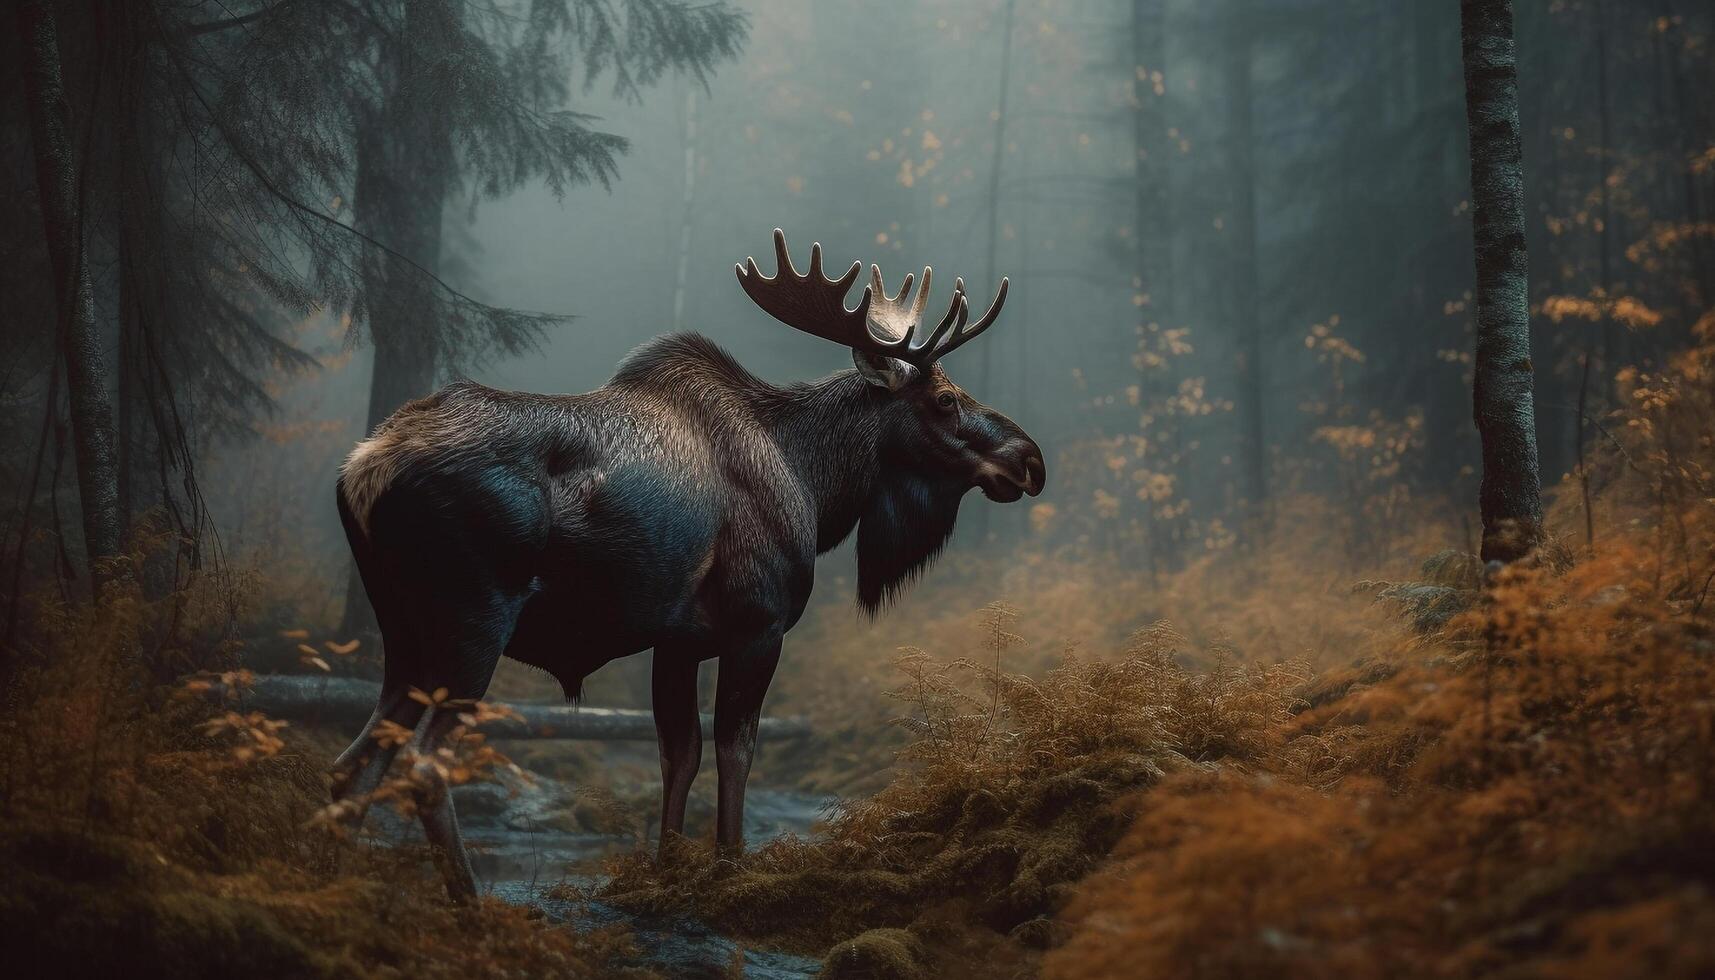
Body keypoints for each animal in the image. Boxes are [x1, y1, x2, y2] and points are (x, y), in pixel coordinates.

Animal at [325, 228, 1035, 899]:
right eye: (944, 400)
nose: (1031, 459)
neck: (814, 480)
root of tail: (363, 468)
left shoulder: (676, 641)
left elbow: (679, 753)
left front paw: (667, 867)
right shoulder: (758, 624)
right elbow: (735, 749)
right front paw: (730, 864)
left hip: (403, 633)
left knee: (351, 765)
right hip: (474, 621)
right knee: (422, 765)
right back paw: (470, 902)